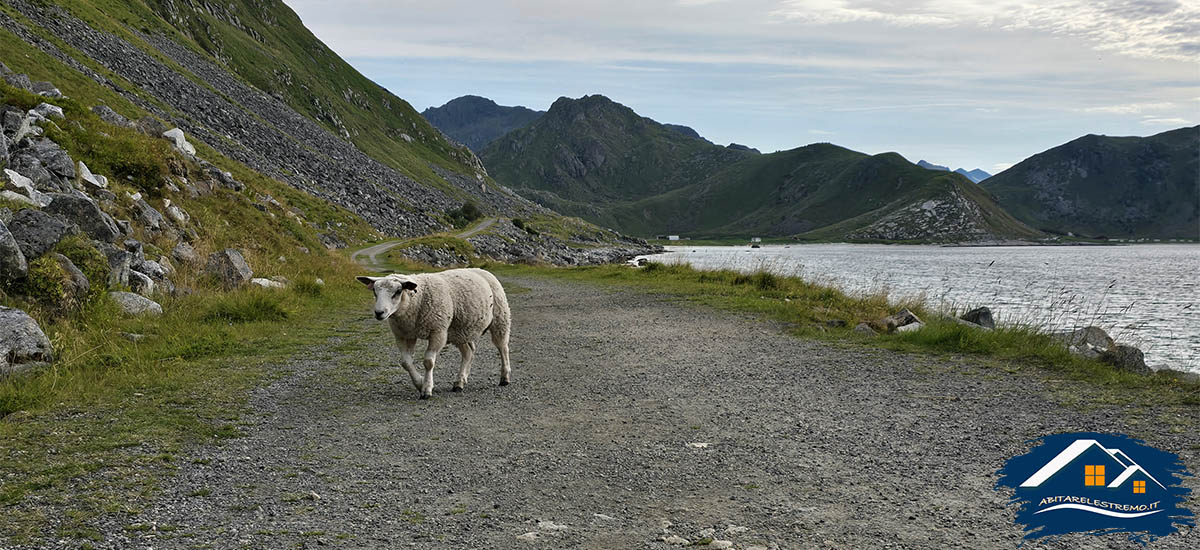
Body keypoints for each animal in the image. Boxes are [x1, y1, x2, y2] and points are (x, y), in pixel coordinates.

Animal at [352, 267, 508, 398]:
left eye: (397, 292)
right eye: (374, 292)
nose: (379, 313)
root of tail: (480, 269)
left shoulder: (438, 332)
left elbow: (428, 361)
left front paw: (426, 390)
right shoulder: (404, 335)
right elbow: (405, 362)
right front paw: (420, 383)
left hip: (500, 317)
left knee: (502, 347)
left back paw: (505, 378)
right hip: (459, 330)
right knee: (468, 352)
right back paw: (460, 382)